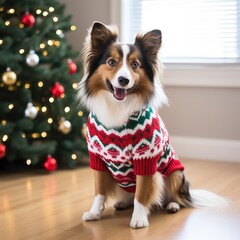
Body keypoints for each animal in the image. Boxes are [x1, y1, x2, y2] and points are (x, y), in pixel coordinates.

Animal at [77, 21, 229, 228]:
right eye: (111, 62)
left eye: (135, 65)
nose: (123, 80)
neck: (118, 107)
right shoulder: (97, 158)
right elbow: (99, 191)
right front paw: (94, 213)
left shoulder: (146, 158)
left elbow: (142, 193)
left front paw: (139, 219)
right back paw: (123, 203)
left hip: (175, 172)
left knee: (175, 197)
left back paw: (172, 205)